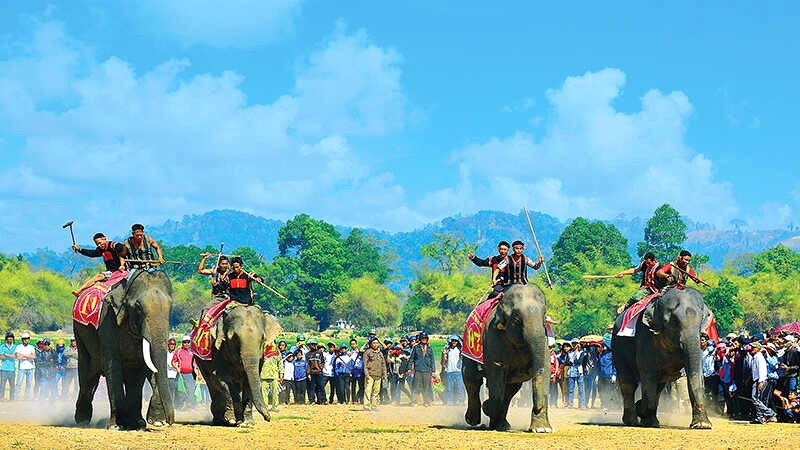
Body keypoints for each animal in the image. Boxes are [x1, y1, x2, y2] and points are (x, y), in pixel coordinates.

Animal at [73, 268, 175, 430]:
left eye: (171, 307)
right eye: (138, 307)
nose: (171, 421)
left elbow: (141, 369)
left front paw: (138, 424)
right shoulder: (108, 320)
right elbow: (112, 365)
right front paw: (116, 426)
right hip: (79, 335)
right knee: (87, 375)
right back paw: (82, 420)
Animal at [460, 284, 552, 432]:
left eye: (544, 317)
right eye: (516, 319)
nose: (538, 407)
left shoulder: (544, 338)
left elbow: (544, 371)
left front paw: (542, 430)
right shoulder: (492, 336)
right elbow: (496, 372)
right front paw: (486, 406)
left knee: (510, 389)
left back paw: (501, 425)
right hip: (467, 347)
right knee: (472, 379)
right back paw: (473, 420)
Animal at [612, 286, 712, 430]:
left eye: (701, 321)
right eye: (674, 322)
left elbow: (696, 373)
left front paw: (702, 425)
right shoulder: (645, 337)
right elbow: (648, 376)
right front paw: (643, 412)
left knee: (659, 385)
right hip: (617, 348)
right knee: (628, 383)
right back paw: (633, 420)